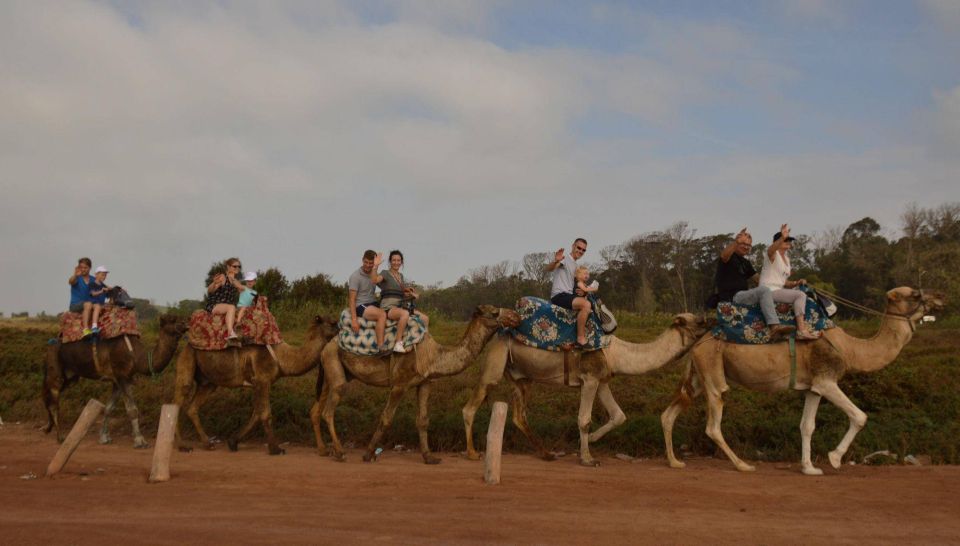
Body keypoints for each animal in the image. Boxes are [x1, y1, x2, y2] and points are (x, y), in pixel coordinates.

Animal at [41, 312, 189, 448]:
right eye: (172, 319)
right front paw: (140, 441)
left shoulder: (118, 380)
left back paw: (47, 428)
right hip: (55, 369)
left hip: (71, 376)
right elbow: (132, 409)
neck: (137, 355)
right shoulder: (122, 376)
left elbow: (109, 408)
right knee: (53, 399)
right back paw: (60, 437)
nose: (186, 322)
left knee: (49, 396)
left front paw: (104, 438)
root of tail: (50, 345)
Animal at [172, 312, 342, 452]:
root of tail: (188, 343)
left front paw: (233, 442)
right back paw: (182, 446)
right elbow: (265, 413)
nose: (342, 331)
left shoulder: (258, 383)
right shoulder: (262, 379)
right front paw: (276, 448)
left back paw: (208, 443)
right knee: (178, 399)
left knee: (192, 408)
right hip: (187, 361)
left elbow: (256, 413)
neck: (283, 358)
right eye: (333, 323)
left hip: (208, 383)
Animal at [312, 304, 520, 462]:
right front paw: (368, 454)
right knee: (328, 411)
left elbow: (423, 420)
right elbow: (386, 418)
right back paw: (339, 453)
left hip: (332, 372)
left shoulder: (425, 383)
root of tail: (327, 345)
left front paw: (429, 457)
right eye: (494, 312)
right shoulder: (400, 384)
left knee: (317, 408)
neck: (433, 356)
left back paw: (323, 450)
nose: (516, 316)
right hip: (334, 366)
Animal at [462, 310, 708, 464]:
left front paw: (590, 441)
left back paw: (547, 454)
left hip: (522, 378)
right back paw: (473, 454)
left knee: (519, 416)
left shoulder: (602, 380)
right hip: (496, 362)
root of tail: (499, 333)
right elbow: (584, 419)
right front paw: (588, 458)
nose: (711, 320)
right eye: (697, 321)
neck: (617, 354)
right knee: (471, 406)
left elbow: (619, 415)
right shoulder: (590, 379)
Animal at [660, 286, 944, 474]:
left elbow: (807, 425)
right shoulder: (827, 380)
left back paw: (675, 461)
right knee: (713, 423)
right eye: (915, 294)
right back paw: (743, 464)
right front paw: (834, 459)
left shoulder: (813, 387)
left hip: (699, 376)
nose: (941, 297)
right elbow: (859, 416)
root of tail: (700, 340)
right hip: (712, 371)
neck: (849, 348)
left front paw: (809, 468)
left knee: (669, 414)